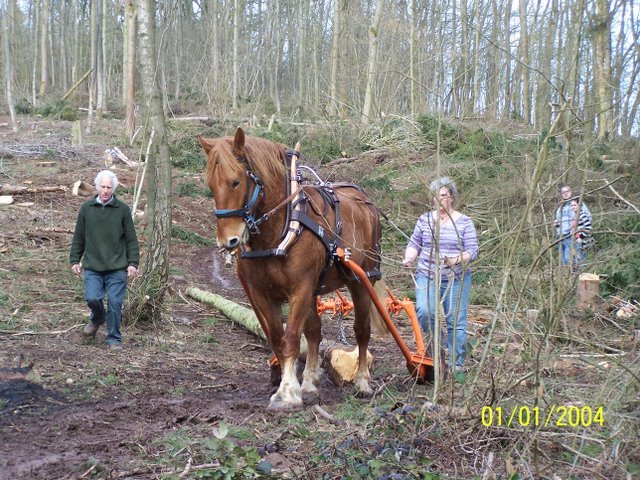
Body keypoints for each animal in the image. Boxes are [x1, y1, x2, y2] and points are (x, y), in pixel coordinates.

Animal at [200, 128, 390, 412]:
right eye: (211, 185)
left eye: (235, 182)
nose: (228, 241)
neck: (281, 228)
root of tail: (365, 201)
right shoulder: (261, 294)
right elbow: (278, 338)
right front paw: (295, 384)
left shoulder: (300, 288)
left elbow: (290, 339)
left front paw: (287, 392)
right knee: (314, 331)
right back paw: (310, 382)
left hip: (361, 279)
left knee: (361, 330)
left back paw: (363, 382)